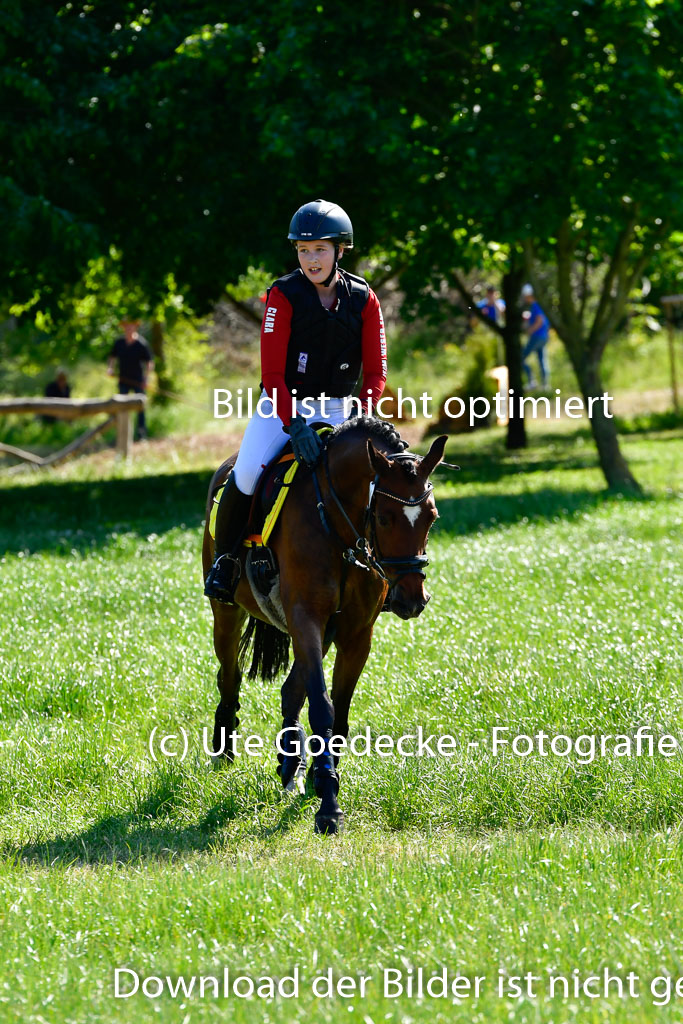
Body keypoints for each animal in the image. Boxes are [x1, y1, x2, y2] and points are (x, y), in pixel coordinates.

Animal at [201, 413, 448, 831]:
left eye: (431, 517)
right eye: (383, 517)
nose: (411, 600)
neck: (339, 527)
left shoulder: (355, 633)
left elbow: (339, 714)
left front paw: (322, 780)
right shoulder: (306, 619)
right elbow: (322, 708)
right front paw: (329, 805)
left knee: (289, 691)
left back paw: (292, 764)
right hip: (228, 612)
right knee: (229, 677)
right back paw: (226, 749)